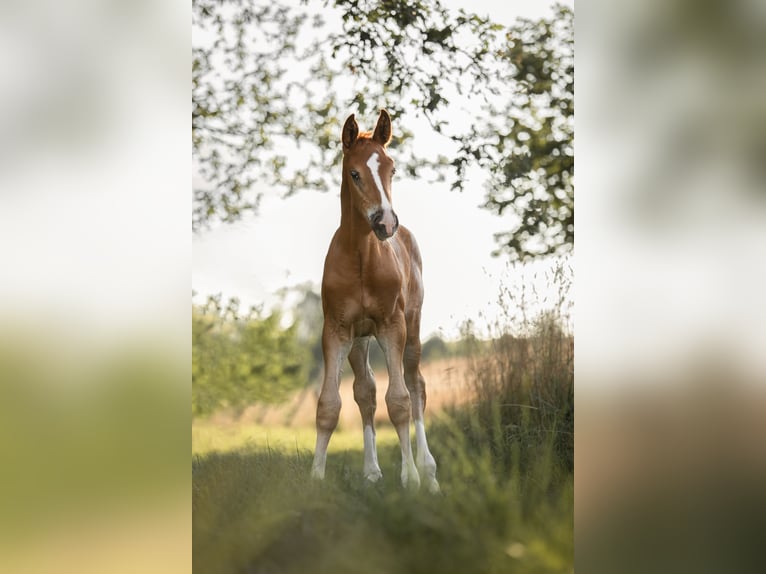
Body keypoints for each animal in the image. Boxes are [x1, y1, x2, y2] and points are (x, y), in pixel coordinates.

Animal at [312, 110, 440, 492]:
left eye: (392, 170)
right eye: (354, 173)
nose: (386, 223)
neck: (361, 259)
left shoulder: (391, 325)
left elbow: (399, 401)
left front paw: (410, 478)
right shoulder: (337, 330)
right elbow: (329, 404)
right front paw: (315, 477)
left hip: (412, 328)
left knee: (416, 387)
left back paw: (429, 472)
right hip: (360, 339)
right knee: (365, 391)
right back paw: (371, 471)